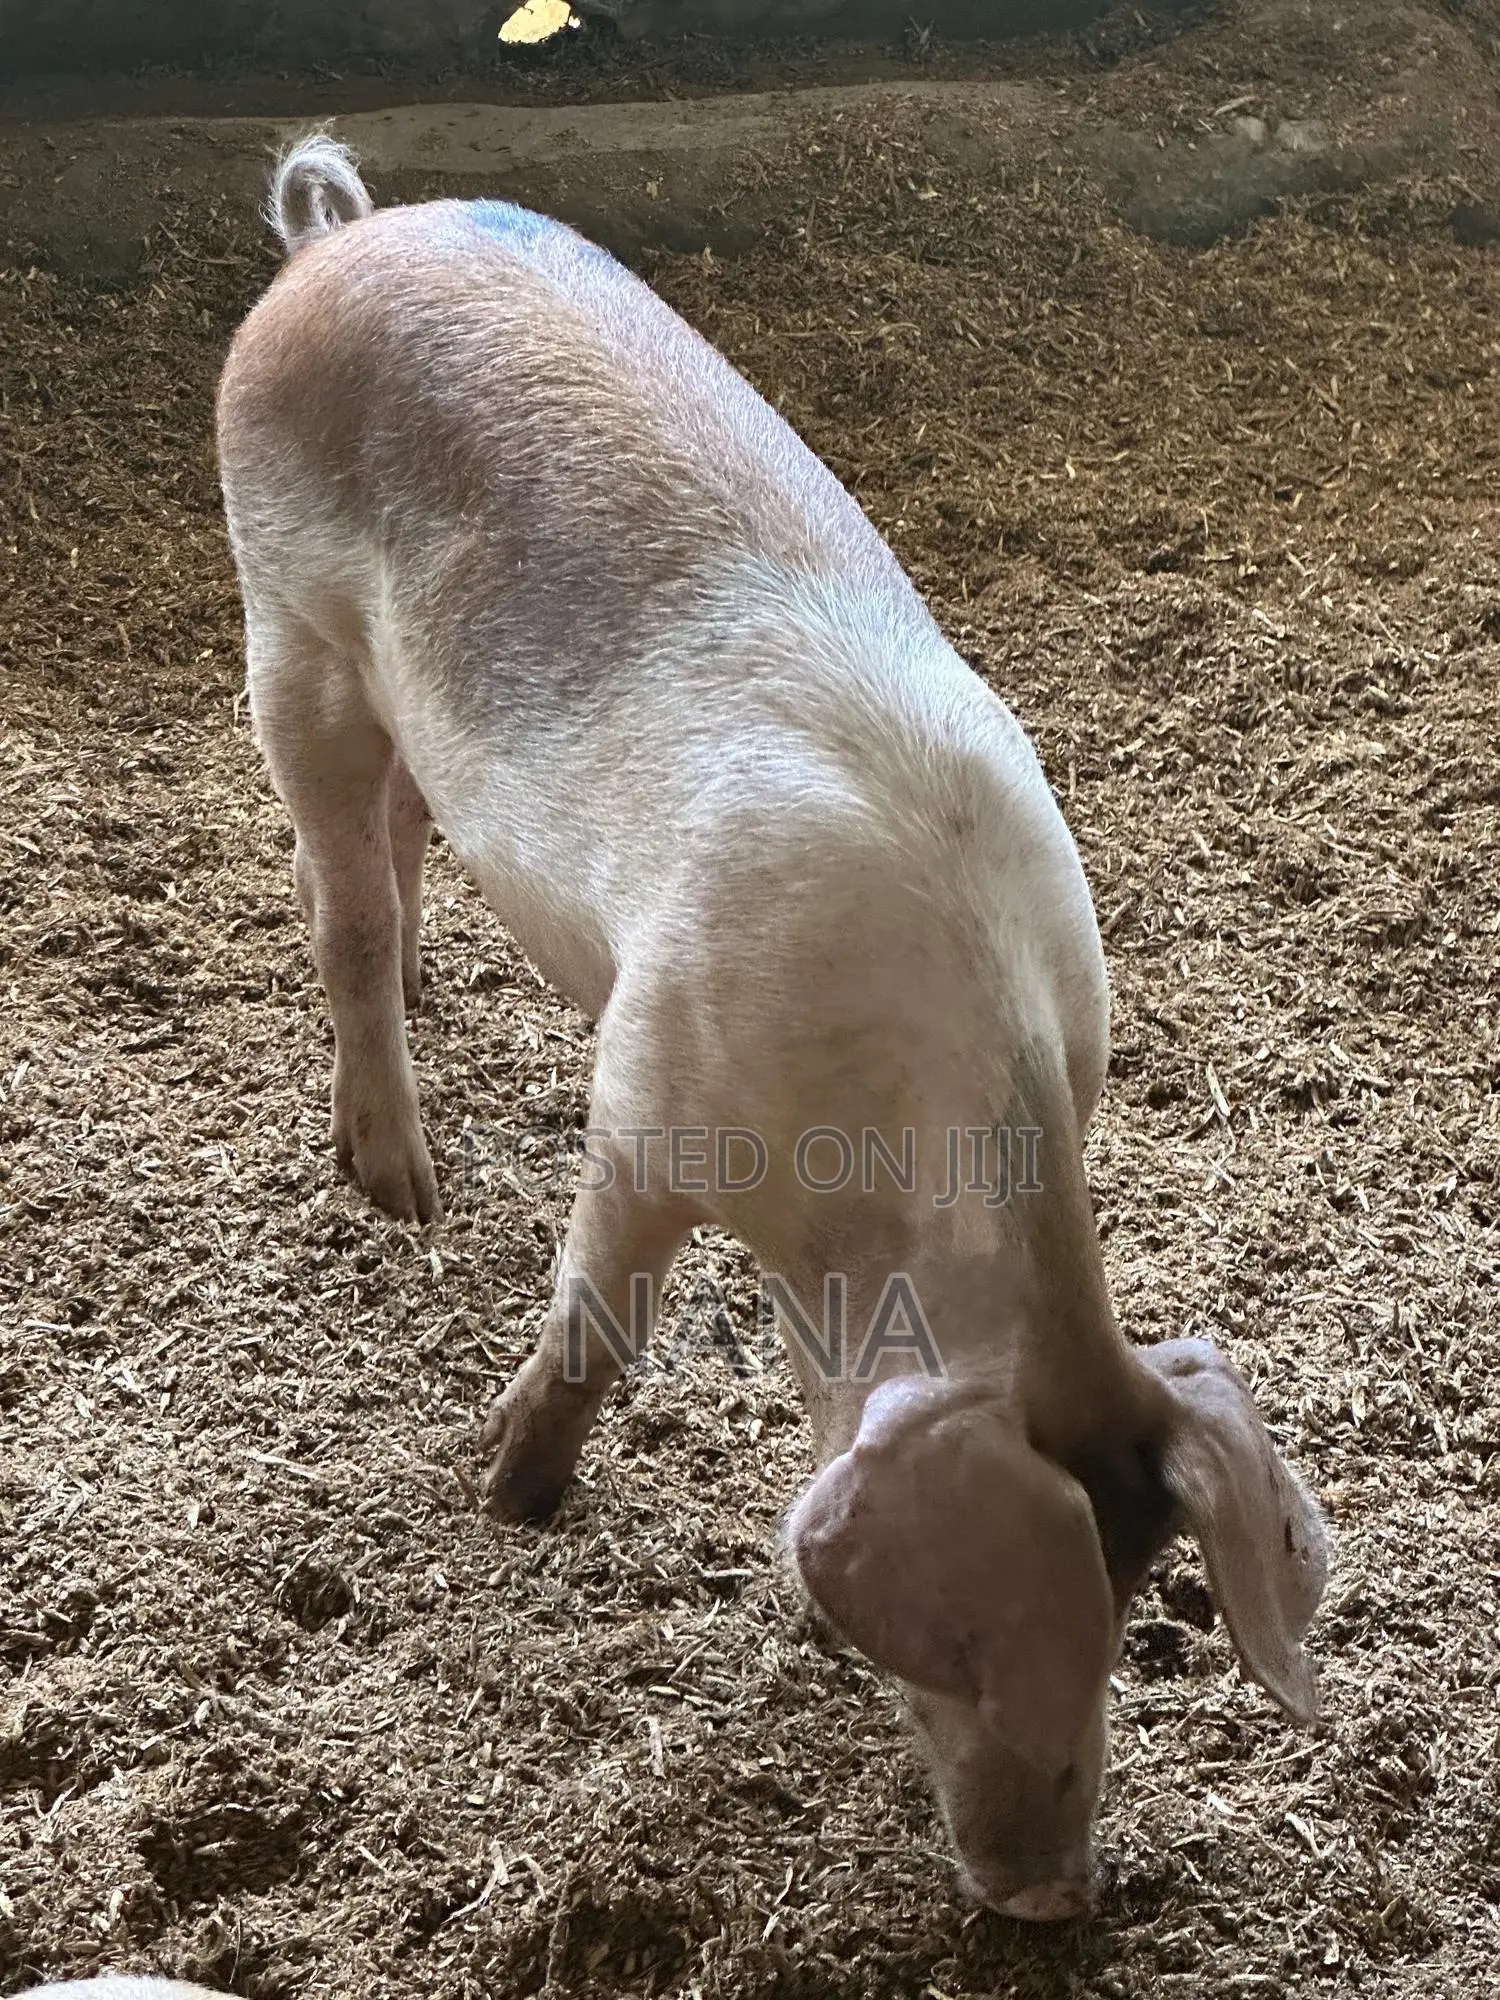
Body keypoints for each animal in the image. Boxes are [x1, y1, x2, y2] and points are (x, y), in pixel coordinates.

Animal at [215, 132, 1328, 1921]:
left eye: (1143, 1619)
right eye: (974, 1645)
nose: (1053, 1899)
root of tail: (338, 238)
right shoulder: (648, 1088)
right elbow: (599, 1322)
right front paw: (507, 1495)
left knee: (397, 834)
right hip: (284, 620)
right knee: (344, 897)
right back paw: (401, 1190)